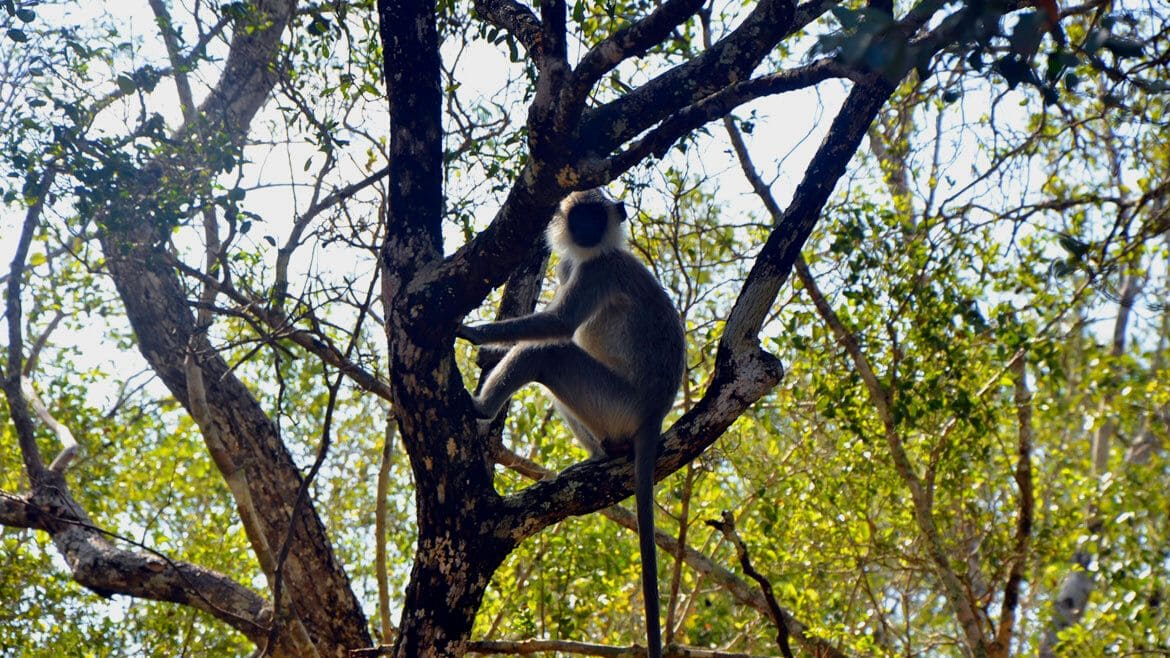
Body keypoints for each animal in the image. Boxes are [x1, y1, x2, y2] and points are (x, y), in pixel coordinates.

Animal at [457, 189, 685, 658]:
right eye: (579, 216)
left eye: (595, 217)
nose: (585, 230)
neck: (595, 252)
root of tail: (656, 410)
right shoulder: (573, 266)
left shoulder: (598, 271)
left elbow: (558, 324)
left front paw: (472, 333)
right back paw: (603, 455)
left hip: (617, 402)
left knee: (549, 351)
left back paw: (481, 409)